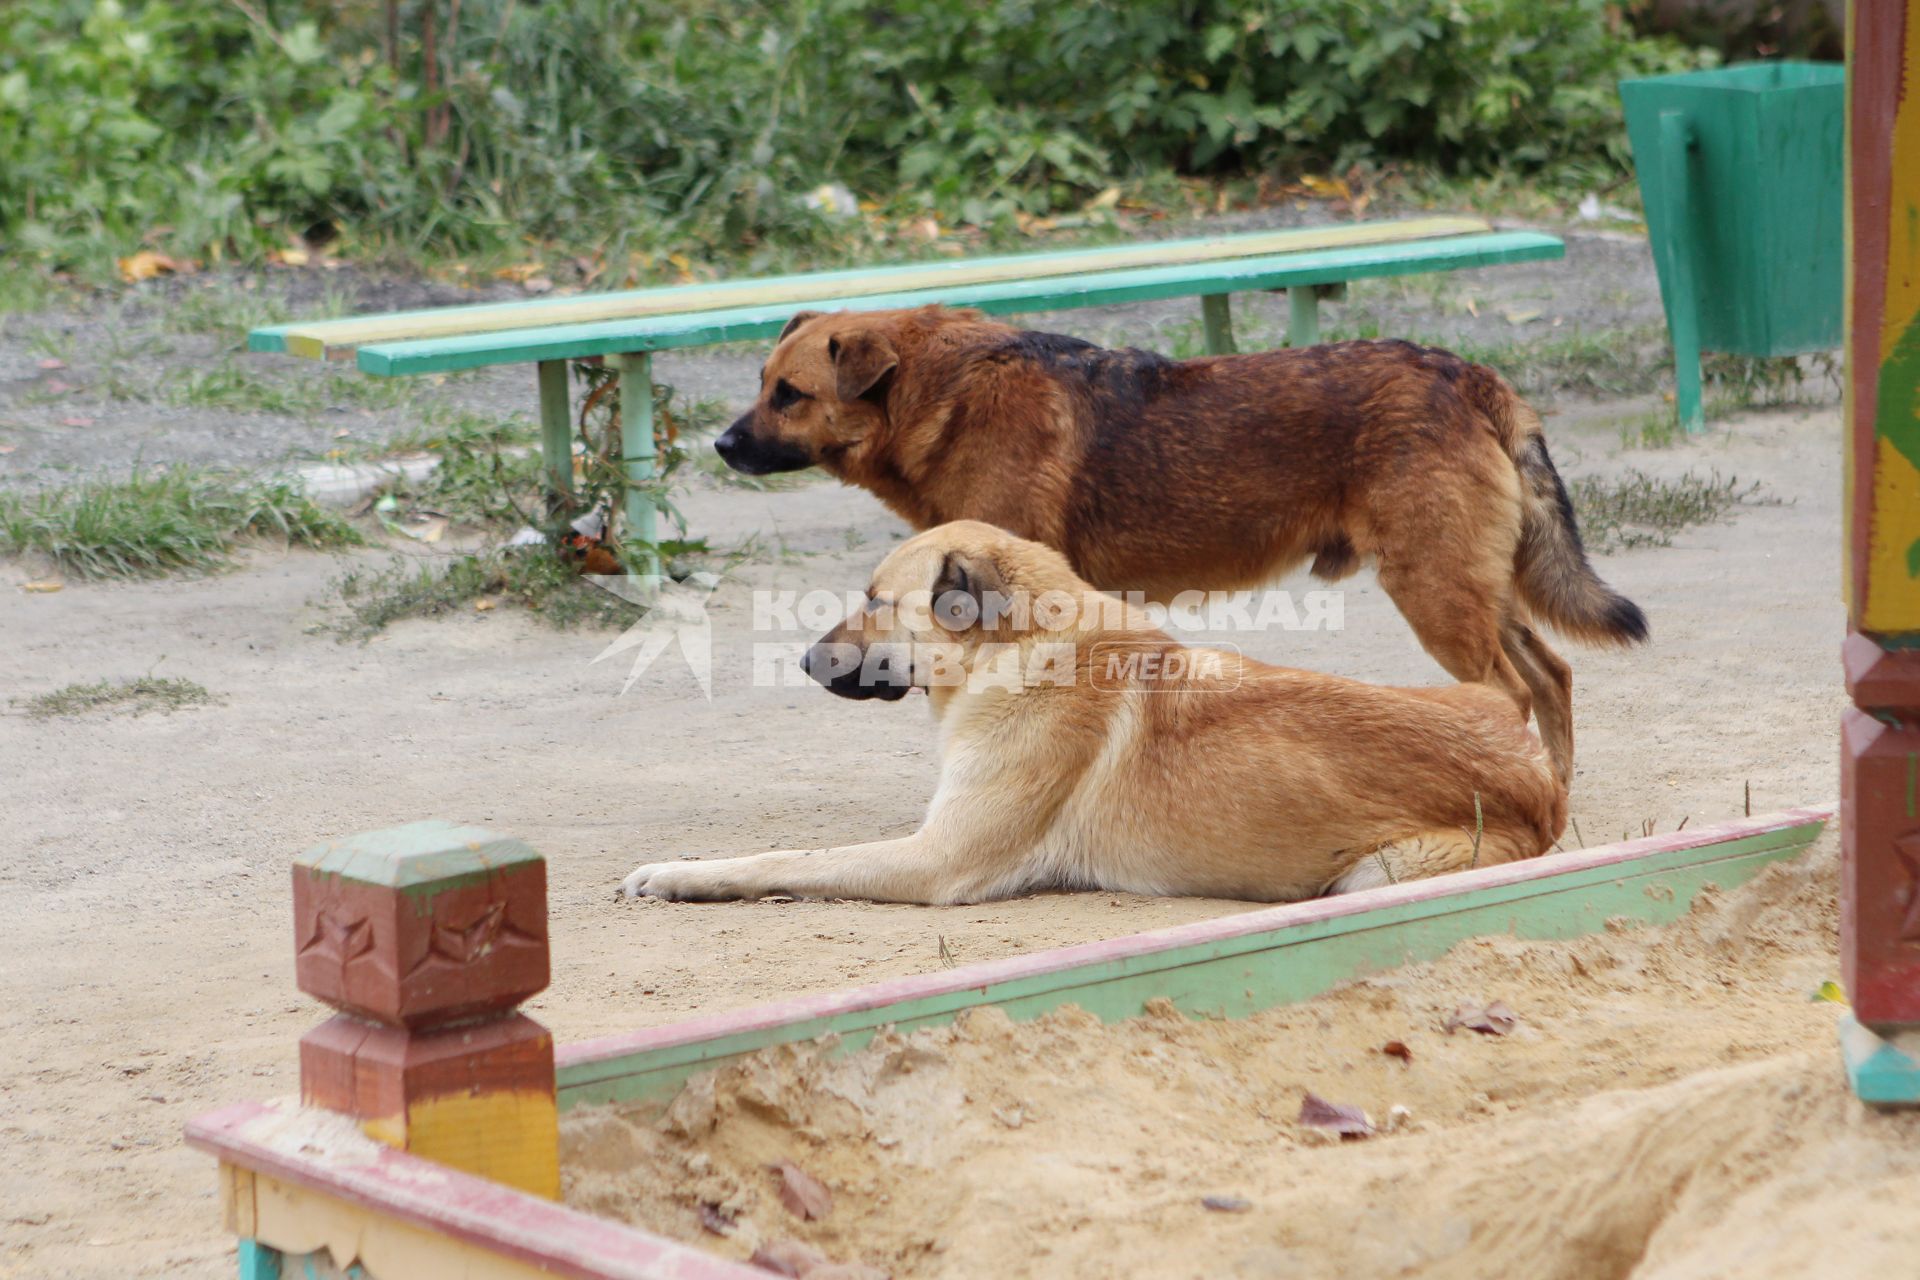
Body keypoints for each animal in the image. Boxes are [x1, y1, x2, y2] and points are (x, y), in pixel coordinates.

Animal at [622, 514, 1566, 905]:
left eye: (876, 601)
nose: (802, 659)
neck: (1022, 652)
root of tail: (1543, 785)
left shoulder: (934, 864)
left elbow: (786, 857)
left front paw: (677, 875)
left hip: (1373, 875)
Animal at [718, 305, 1651, 782]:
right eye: (761, 385)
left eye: (790, 394)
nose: (722, 446)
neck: (944, 394)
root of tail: (1468, 374)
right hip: (1474, 590)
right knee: (1553, 675)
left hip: (1437, 594)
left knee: (1513, 690)